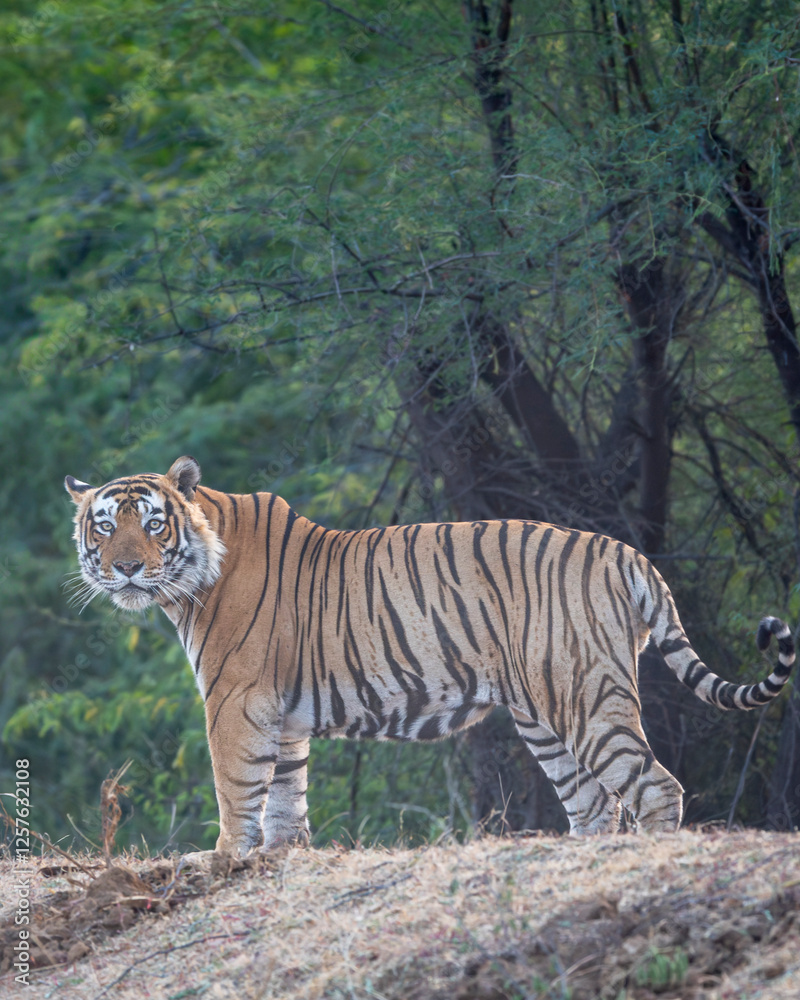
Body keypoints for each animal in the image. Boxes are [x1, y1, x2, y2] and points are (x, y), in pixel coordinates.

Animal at [65, 455, 795, 856]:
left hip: (584, 694)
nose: (126, 567)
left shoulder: (236, 702)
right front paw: (278, 858)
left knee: (654, 787)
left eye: (152, 523)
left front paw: (223, 858)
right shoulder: (285, 717)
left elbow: (237, 790)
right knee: (593, 802)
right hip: (543, 712)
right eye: (103, 525)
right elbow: (284, 799)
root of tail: (624, 551)